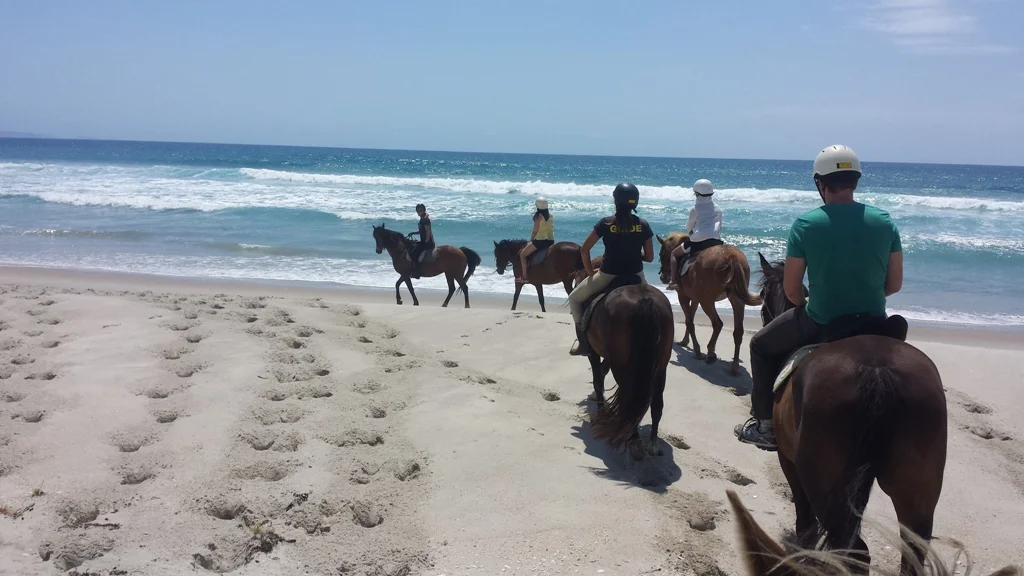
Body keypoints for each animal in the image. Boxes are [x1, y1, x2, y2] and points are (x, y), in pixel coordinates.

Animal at [583, 278, 675, 460]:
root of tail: (645, 299)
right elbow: (601, 374)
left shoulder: (593, 353)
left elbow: (598, 379)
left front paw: (600, 410)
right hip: (661, 368)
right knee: (655, 405)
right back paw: (652, 445)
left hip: (623, 369)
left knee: (629, 402)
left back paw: (633, 440)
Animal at [656, 232, 761, 376]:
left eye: (661, 254)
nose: (663, 277)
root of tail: (731, 256)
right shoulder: (695, 298)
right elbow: (689, 319)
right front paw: (685, 341)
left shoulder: (683, 296)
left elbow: (689, 321)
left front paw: (697, 350)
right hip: (736, 300)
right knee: (738, 331)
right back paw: (734, 366)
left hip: (707, 301)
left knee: (717, 324)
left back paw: (711, 353)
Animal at [756, 253, 948, 575]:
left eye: (761, 298)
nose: (763, 316)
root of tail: (878, 370)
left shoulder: (788, 461)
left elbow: (804, 524)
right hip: (918, 493)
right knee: (911, 553)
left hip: (823, 482)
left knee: (855, 550)